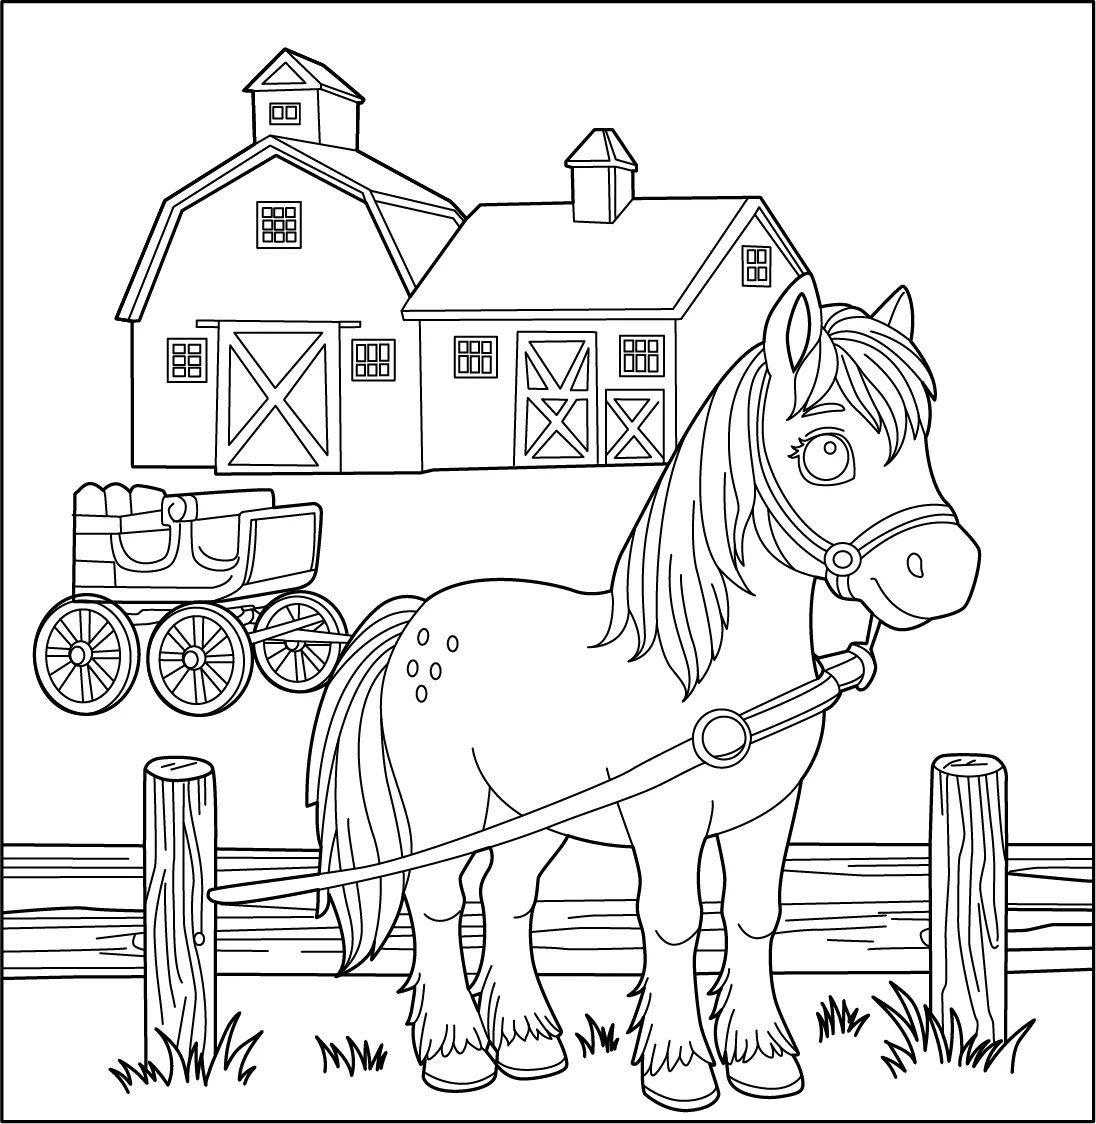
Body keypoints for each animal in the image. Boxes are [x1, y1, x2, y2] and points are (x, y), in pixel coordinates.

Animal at [304, 273, 980, 1111]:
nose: (948, 572)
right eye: (828, 449)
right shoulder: (668, 819)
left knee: (507, 895)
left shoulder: (770, 812)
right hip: (445, 804)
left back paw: (528, 1045)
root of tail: (419, 619)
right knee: (437, 900)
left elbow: (754, 916)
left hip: (530, 814)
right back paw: (458, 1055)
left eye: (924, 438)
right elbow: (673, 922)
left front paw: (762, 1058)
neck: (717, 671)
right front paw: (679, 1067)